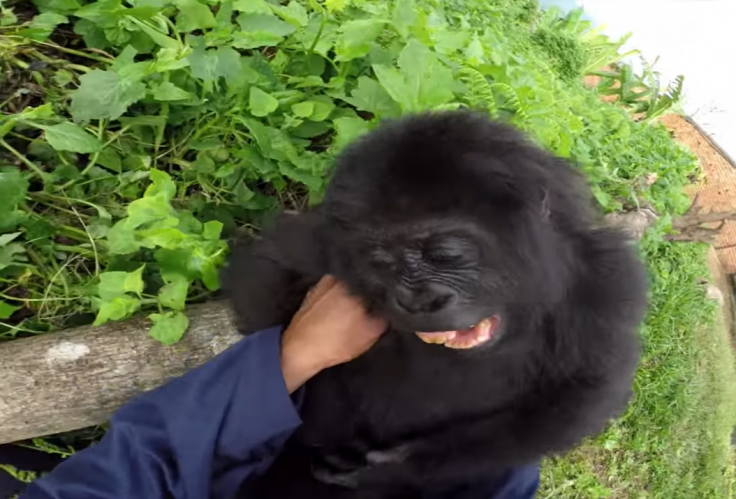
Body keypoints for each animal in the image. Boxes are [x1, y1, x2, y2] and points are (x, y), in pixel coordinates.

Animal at [227, 111, 648, 498]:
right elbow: (263, 284)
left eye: (446, 255)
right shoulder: (320, 249)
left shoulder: (605, 284)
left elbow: (581, 391)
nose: (420, 299)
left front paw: (402, 467)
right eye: (382, 263)